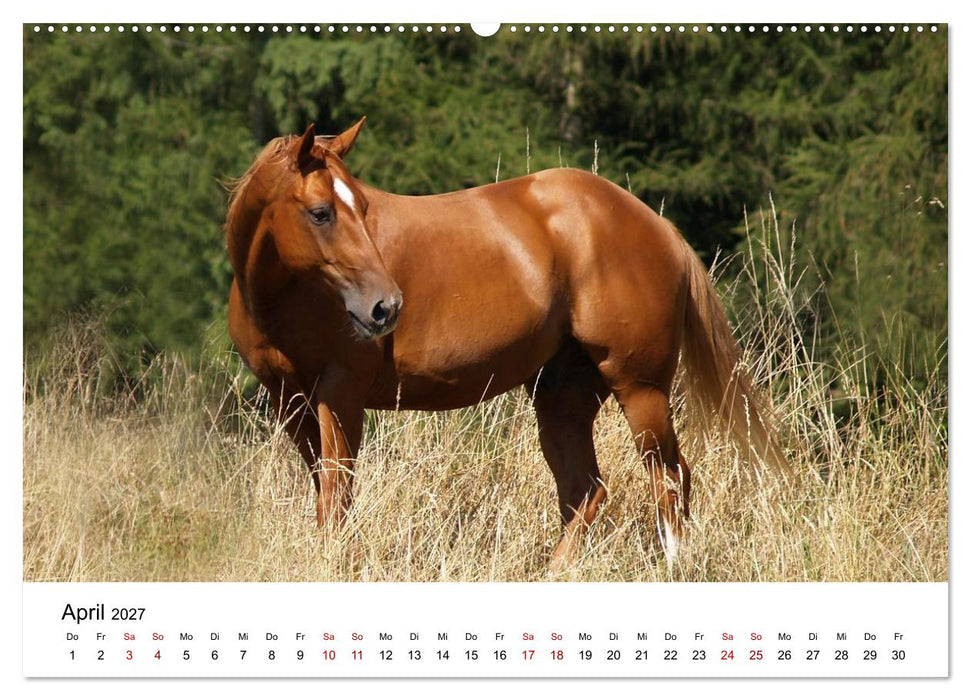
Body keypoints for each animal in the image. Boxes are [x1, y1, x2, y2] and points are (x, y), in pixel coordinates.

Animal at [226, 118, 785, 571]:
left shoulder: (340, 395)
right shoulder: (291, 402)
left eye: (363, 206)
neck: (285, 295)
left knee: (667, 480)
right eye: (321, 212)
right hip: (563, 397)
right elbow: (326, 497)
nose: (385, 308)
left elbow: (336, 497)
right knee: (588, 492)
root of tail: (656, 224)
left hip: (640, 389)